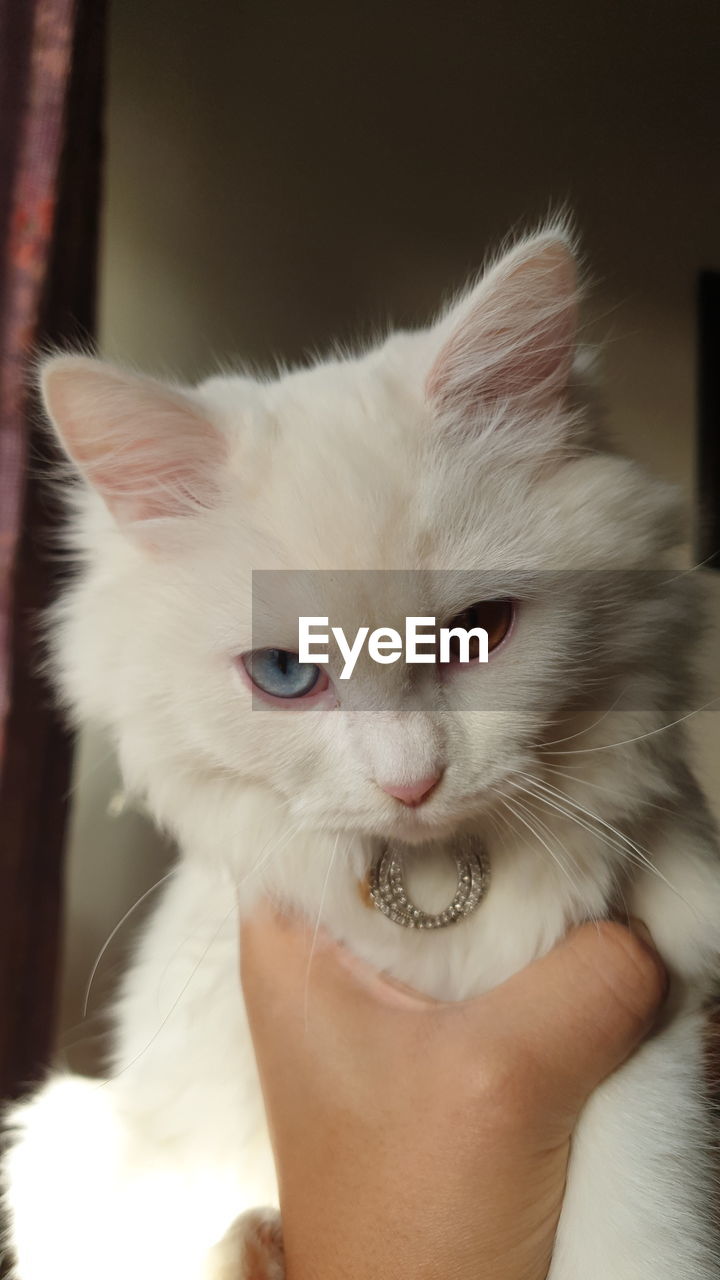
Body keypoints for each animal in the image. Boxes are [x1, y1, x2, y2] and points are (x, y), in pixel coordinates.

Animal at [1, 230, 717, 1280]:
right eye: (285, 674)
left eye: (475, 633)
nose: (412, 782)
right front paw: (248, 1233)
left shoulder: (660, 1016)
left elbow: (640, 1216)